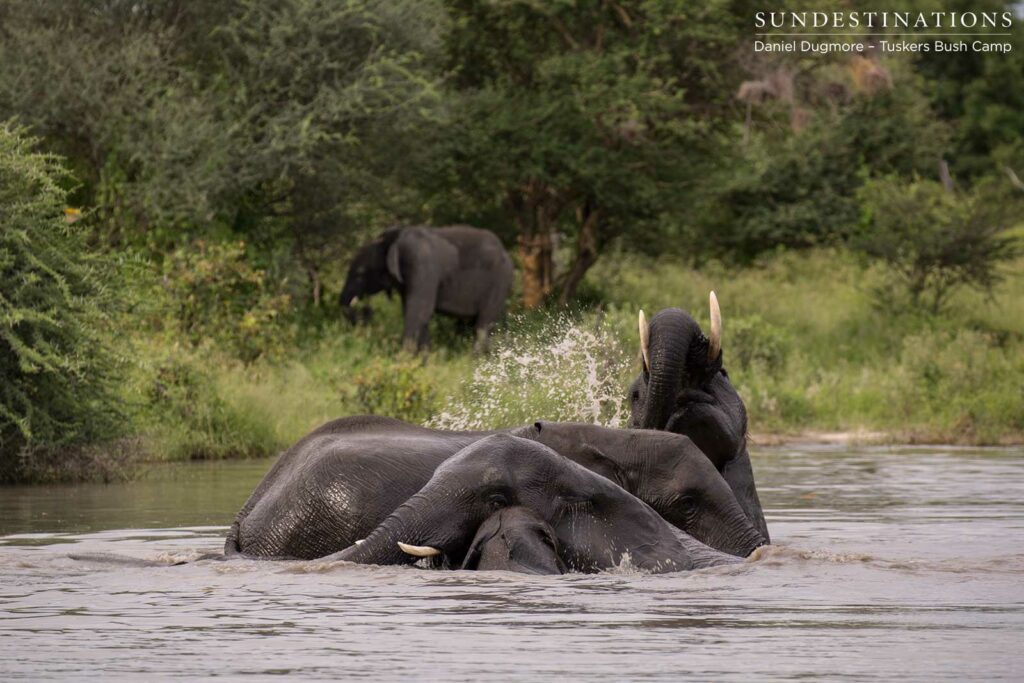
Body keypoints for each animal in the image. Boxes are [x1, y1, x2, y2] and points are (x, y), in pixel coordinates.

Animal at [339, 225, 513, 353]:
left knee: (483, 324)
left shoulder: (420, 266)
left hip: (498, 283)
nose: (366, 311)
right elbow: (416, 313)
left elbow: (419, 311)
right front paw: (422, 361)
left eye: (360, 273)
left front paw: (405, 360)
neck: (394, 238)